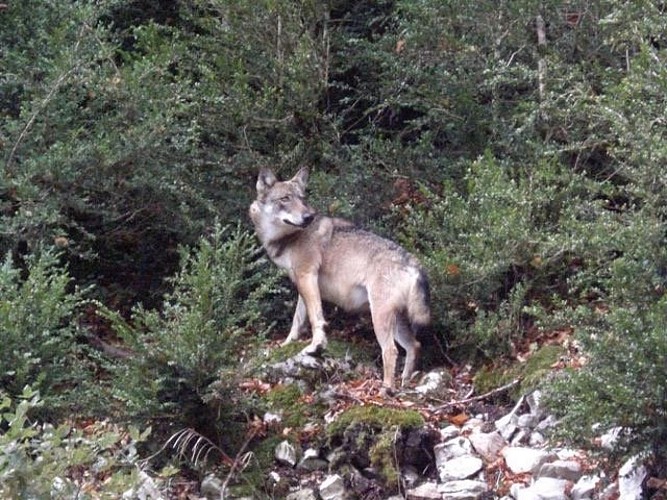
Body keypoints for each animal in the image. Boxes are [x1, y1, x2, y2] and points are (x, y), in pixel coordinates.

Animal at [249, 167, 430, 393]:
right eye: (285, 198)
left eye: (302, 198)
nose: (308, 217)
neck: (287, 238)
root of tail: (413, 263)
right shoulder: (302, 284)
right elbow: (297, 321)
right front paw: (287, 344)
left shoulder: (307, 276)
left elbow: (316, 319)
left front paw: (315, 347)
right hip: (396, 321)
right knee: (414, 346)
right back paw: (404, 384)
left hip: (380, 318)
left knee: (391, 351)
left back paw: (385, 390)